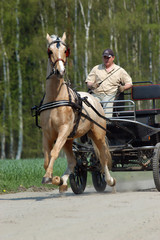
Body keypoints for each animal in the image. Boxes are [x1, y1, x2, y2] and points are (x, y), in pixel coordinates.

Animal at [39, 32, 115, 193]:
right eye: (50, 52)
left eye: (65, 50)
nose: (60, 71)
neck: (56, 98)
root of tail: (94, 99)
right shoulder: (47, 133)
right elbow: (47, 159)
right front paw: (55, 179)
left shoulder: (63, 130)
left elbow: (54, 152)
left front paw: (50, 177)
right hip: (69, 140)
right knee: (73, 162)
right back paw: (63, 182)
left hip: (98, 133)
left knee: (103, 157)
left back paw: (110, 180)